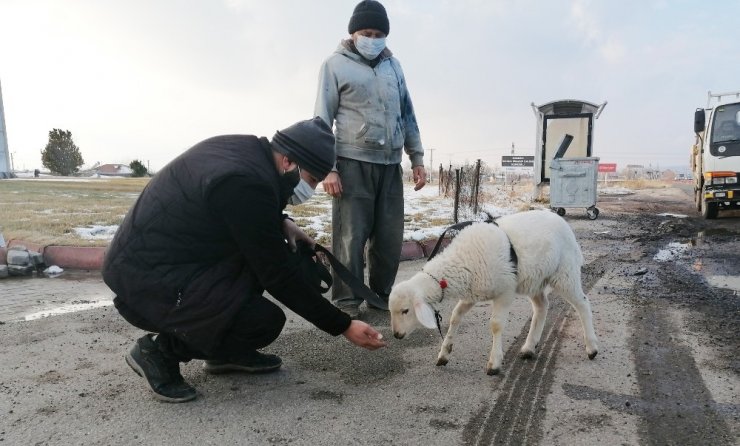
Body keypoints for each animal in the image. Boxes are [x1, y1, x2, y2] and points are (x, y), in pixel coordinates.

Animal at [390, 211, 600, 374]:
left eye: (406, 310)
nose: (397, 335)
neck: (461, 261)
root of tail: (561, 220)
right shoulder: (471, 294)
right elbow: (455, 316)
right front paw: (444, 353)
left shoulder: (505, 292)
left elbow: (496, 325)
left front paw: (494, 364)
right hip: (535, 279)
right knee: (542, 307)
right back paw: (529, 348)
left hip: (565, 273)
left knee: (582, 303)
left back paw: (591, 348)